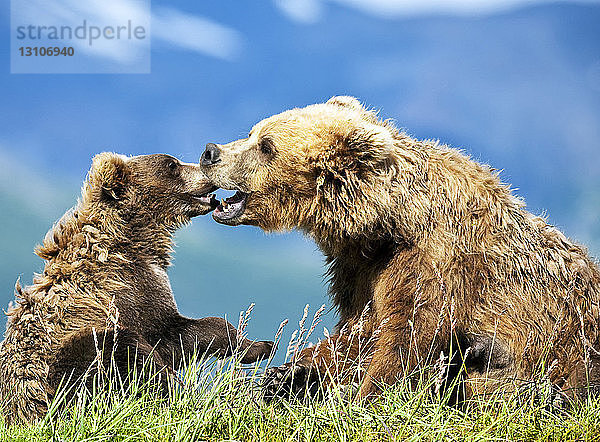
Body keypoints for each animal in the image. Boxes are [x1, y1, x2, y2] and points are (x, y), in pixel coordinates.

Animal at [0, 153, 272, 424]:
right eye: (172, 165)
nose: (207, 172)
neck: (133, 239)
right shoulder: (127, 291)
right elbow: (175, 331)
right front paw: (259, 346)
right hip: (60, 373)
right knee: (117, 349)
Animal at [200, 96, 600, 400]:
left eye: (267, 146)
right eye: (252, 132)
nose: (210, 151)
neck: (388, 225)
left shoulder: (434, 262)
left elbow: (407, 335)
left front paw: (364, 395)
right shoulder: (361, 267)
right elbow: (358, 328)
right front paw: (288, 374)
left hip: (573, 345)